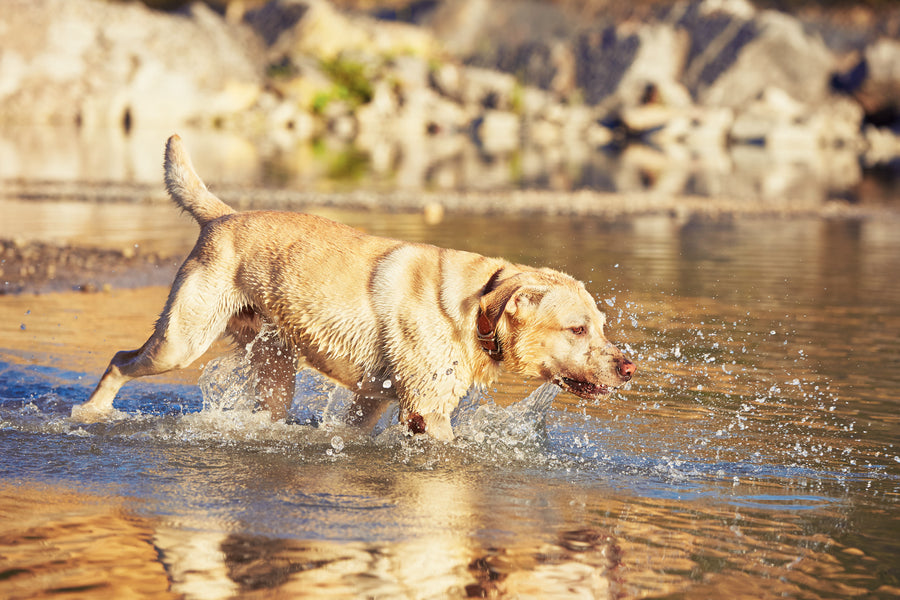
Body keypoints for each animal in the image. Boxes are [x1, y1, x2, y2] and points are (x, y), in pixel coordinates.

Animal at [72, 136, 632, 440]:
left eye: (602, 327)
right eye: (577, 329)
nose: (629, 366)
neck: (473, 312)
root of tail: (222, 216)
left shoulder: (374, 398)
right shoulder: (426, 408)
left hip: (274, 365)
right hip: (180, 341)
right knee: (119, 359)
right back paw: (92, 411)